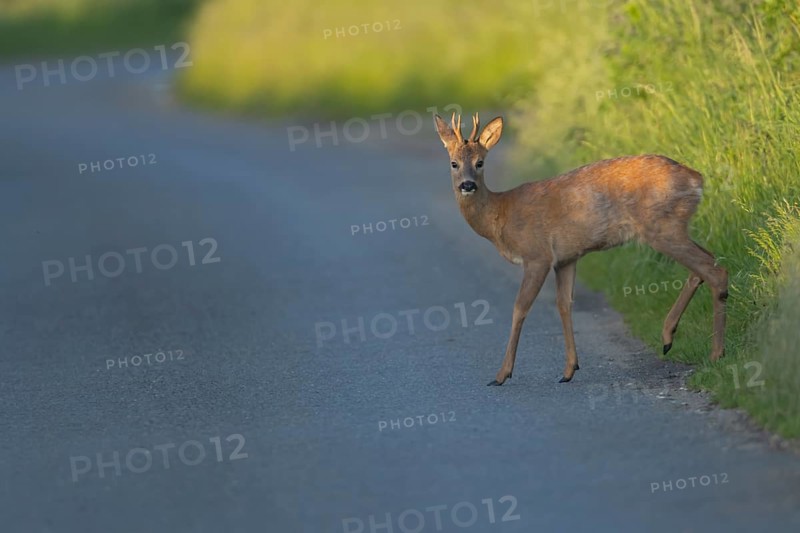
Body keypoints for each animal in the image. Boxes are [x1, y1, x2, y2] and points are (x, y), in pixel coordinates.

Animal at [433, 113, 728, 386]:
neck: (500, 215)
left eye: (480, 162)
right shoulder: (566, 258)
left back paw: (715, 354)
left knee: (714, 269)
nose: (467, 185)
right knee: (706, 263)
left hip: (662, 227)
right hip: (673, 227)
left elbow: (520, 307)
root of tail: (697, 180)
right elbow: (564, 304)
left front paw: (502, 374)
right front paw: (569, 369)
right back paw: (669, 337)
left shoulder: (537, 254)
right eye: (454, 163)